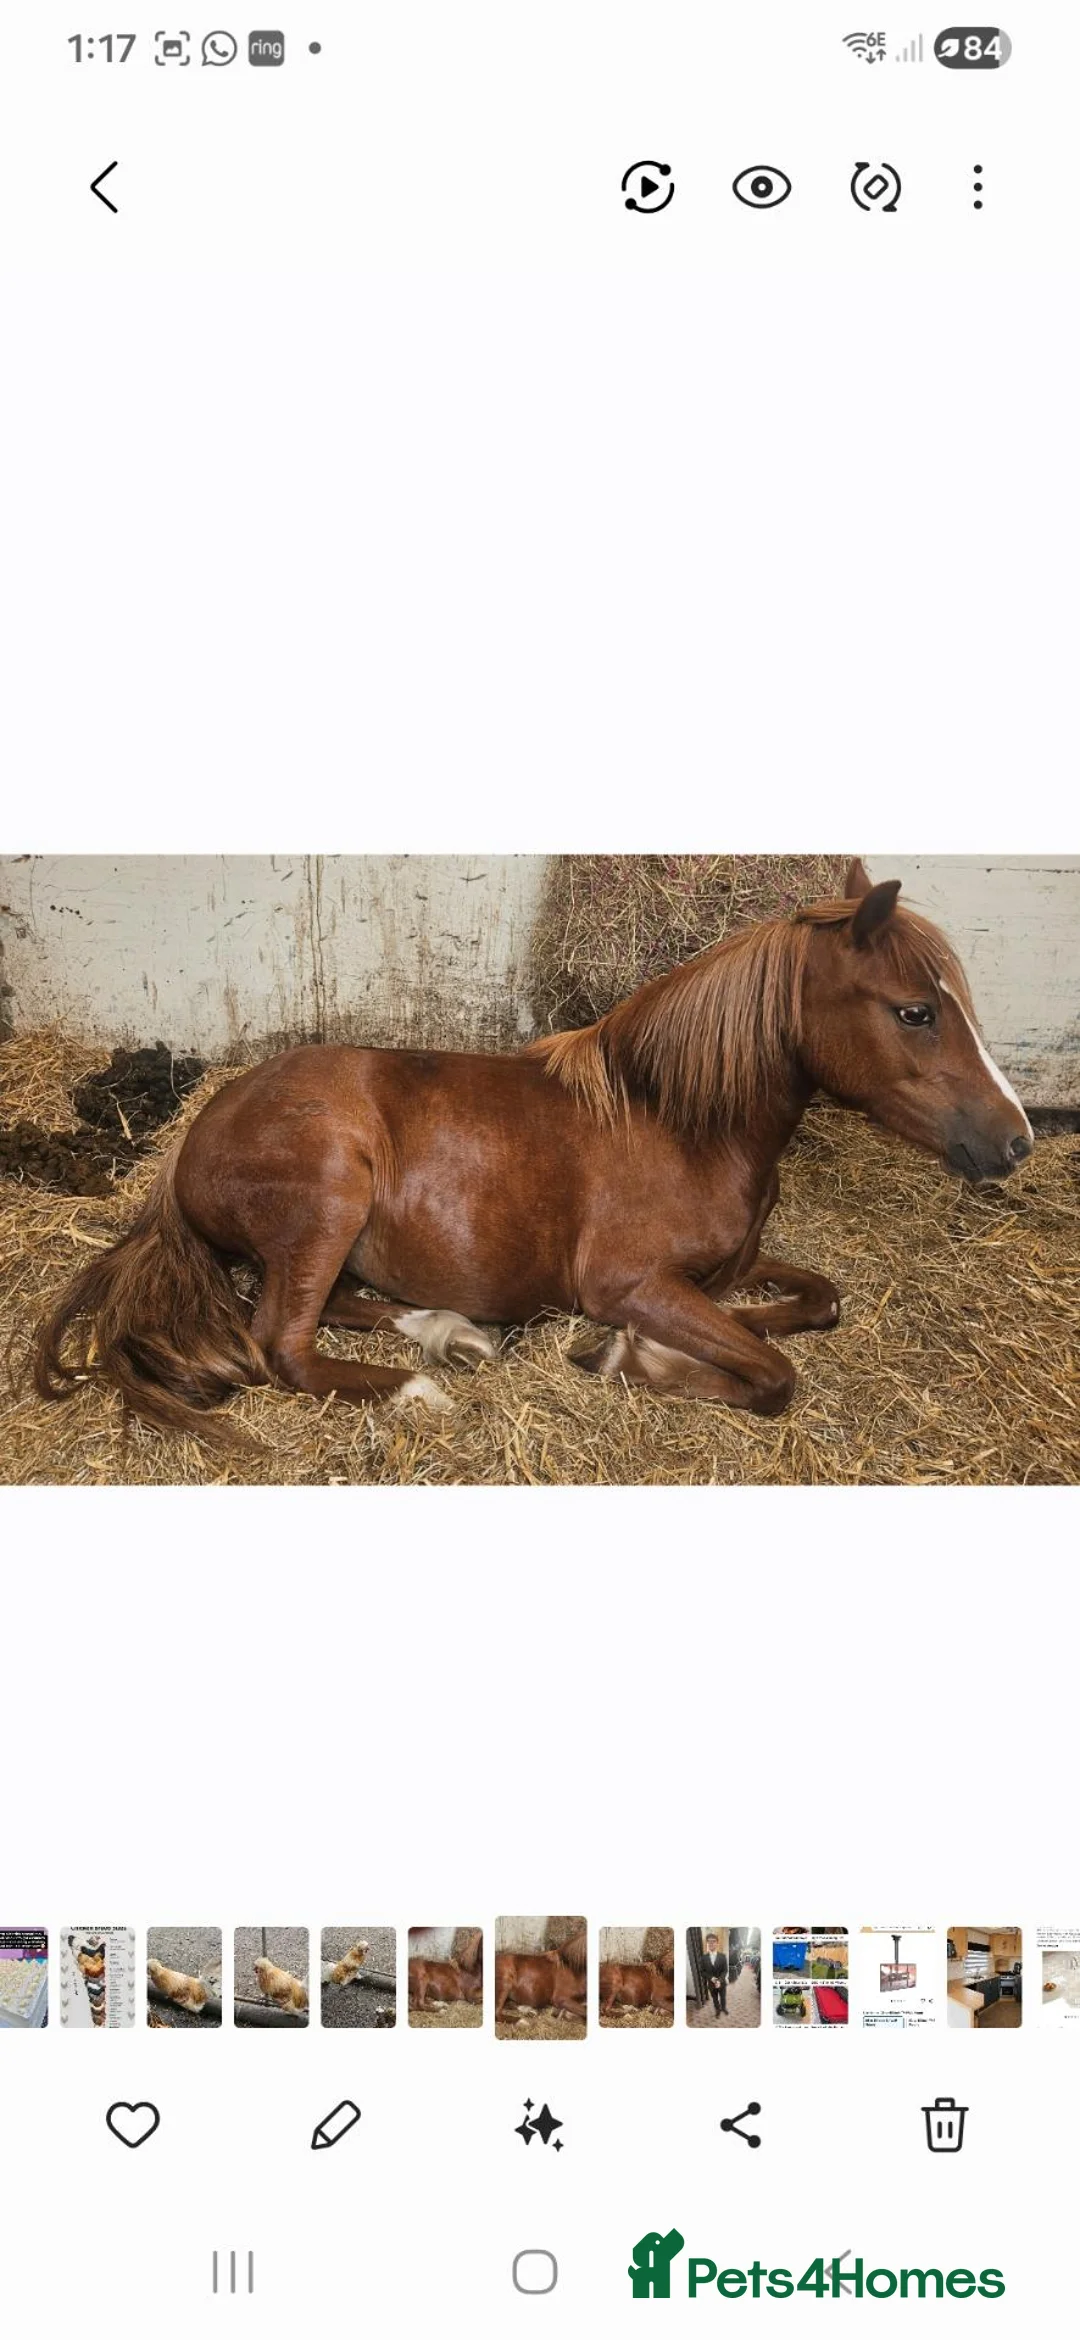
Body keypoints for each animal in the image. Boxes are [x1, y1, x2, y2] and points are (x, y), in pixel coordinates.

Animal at [33, 861, 1033, 1431]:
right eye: (915, 1011)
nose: (1016, 1141)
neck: (679, 1124)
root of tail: (188, 1146)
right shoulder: (630, 1284)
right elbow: (773, 1373)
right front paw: (628, 1359)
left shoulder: (722, 1274)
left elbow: (815, 1305)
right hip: (329, 1198)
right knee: (280, 1342)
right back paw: (421, 1390)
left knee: (336, 1305)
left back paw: (453, 1333)